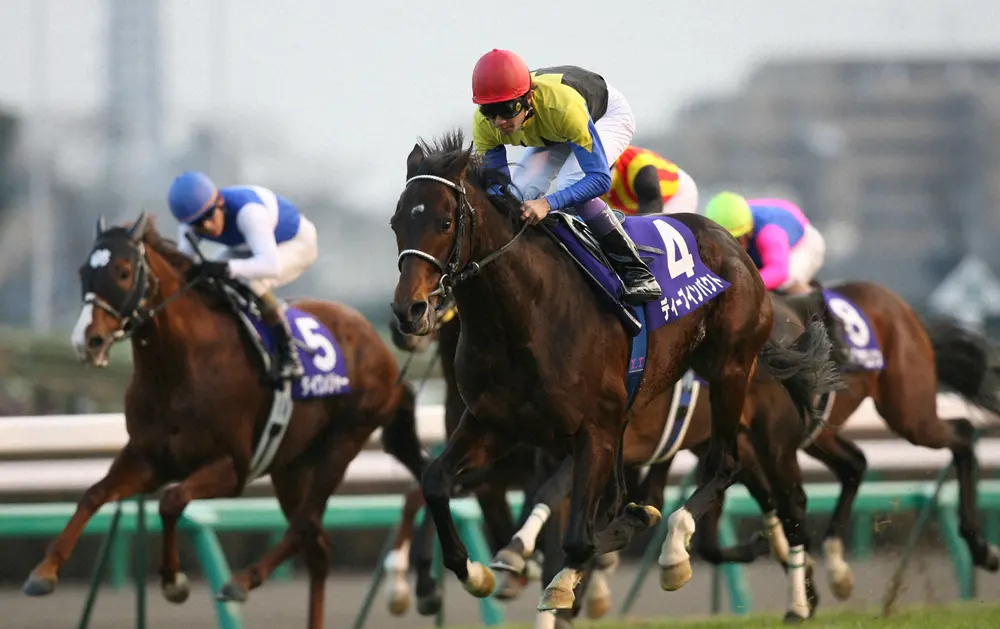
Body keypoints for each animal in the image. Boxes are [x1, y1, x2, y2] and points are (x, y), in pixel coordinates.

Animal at [23, 214, 428, 629]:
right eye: (83, 271)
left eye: (122, 271)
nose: (86, 340)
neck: (178, 367)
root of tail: (380, 348)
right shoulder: (147, 459)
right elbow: (94, 494)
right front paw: (44, 571)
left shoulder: (232, 467)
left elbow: (171, 500)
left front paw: (173, 581)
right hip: (291, 465)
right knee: (317, 547)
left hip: (344, 442)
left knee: (304, 525)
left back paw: (241, 581)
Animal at [388, 128, 838, 613]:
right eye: (396, 223)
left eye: (444, 223)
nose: (408, 312)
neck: (524, 317)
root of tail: (733, 247)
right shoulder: (496, 423)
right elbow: (435, 481)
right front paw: (474, 574)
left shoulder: (591, 430)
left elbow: (579, 538)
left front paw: (559, 566)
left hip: (734, 380)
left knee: (735, 472)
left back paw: (686, 552)